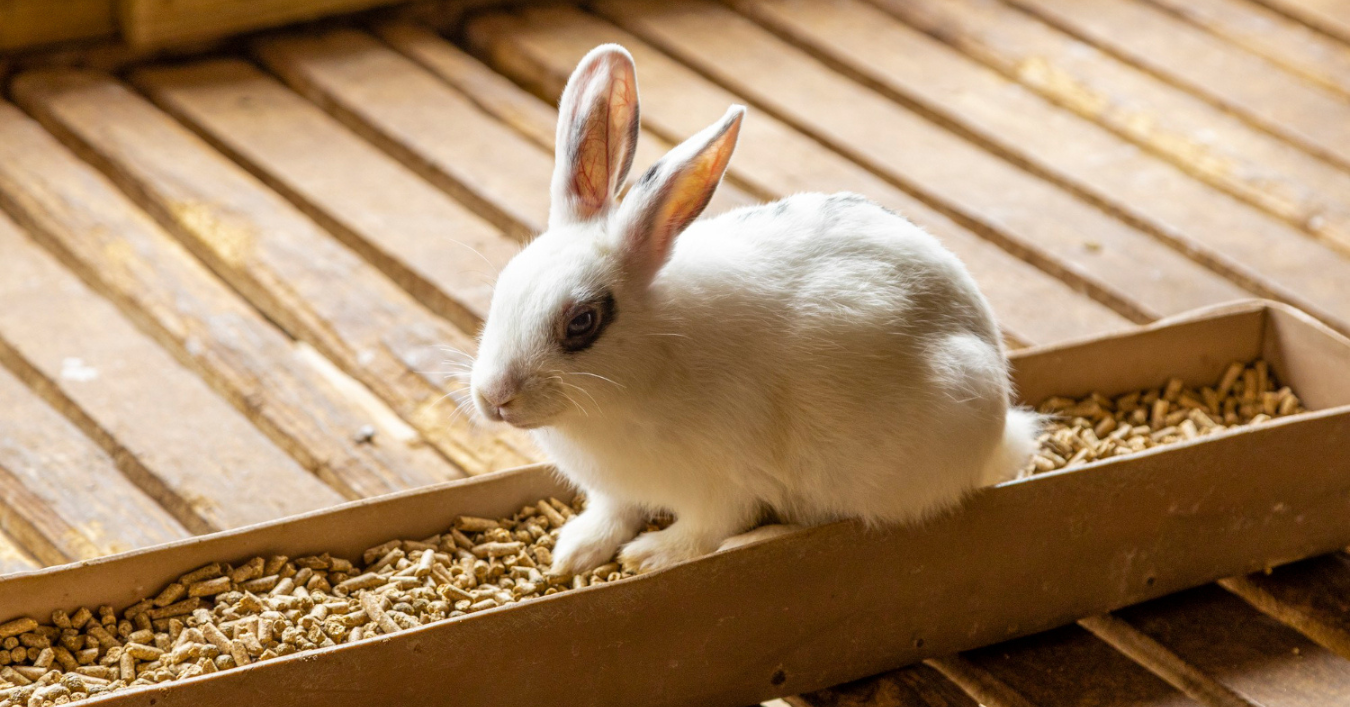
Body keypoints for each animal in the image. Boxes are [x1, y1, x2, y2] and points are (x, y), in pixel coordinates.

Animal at [469, 42, 1036, 574]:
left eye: (582, 322)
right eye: (502, 285)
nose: (494, 398)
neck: (651, 366)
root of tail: (1004, 429)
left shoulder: (722, 488)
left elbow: (704, 532)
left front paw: (648, 556)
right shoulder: (616, 490)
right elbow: (614, 512)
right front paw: (574, 552)